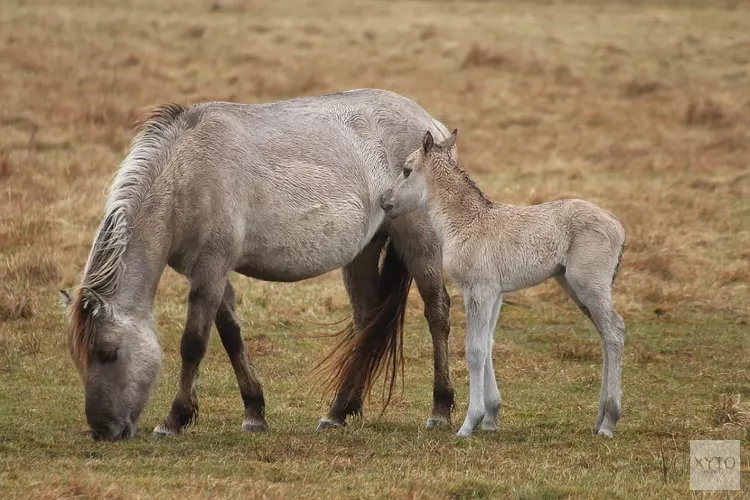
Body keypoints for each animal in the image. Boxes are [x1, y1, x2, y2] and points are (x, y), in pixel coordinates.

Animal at [58, 90, 456, 442]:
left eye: (108, 353)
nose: (102, 431)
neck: (184, 176)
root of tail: (432, 127)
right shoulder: (210, 274)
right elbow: (231, 336)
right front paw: (254, 413)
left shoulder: (211, 269)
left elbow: (193, 343)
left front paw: (174, 419)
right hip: (363, 254)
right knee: (365, 324)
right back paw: (340, 411)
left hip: (421, 243)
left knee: (437, 313)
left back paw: (440, 409)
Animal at [382, 130, 628, 438]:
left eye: (406, 170)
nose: (385, 202)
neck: (466, 222)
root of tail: (618, 226)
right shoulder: (495, 293)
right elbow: (487, 343)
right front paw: (490, 418)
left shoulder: (480, 289)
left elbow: (475, 349)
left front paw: (469, 423)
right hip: (575, 287)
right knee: (605, 335)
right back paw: (599, 420)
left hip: (590, 284)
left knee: (615, 331)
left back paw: (609, 422)